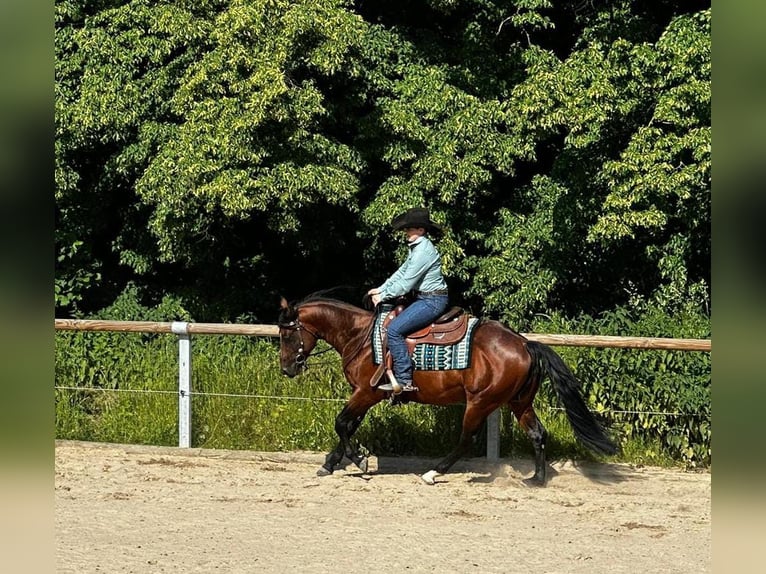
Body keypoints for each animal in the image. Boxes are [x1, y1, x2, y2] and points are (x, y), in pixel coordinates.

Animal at [276, 292, 616, 486]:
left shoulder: (367, 392)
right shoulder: (364, 394)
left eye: (287, 334)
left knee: (467, 439)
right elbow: (348, 425)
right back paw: (536, 479)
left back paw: (434, 472)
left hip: (480, 402)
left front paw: (359, 459)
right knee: (537, 434)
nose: (287, 368)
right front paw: (331, 464)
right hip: (519, 403)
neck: (361, 337)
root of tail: (525, 344)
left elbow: (342, 423)